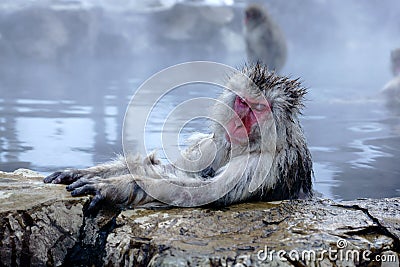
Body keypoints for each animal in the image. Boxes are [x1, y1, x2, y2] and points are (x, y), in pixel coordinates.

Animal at [43, 63, 312, 211]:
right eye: (242, 102)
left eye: (258, 108)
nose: (238, 121)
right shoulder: (214, 143)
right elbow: (171, 169)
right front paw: (83, 173)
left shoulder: (263, 166)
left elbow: (203, 192)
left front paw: (113, 188)